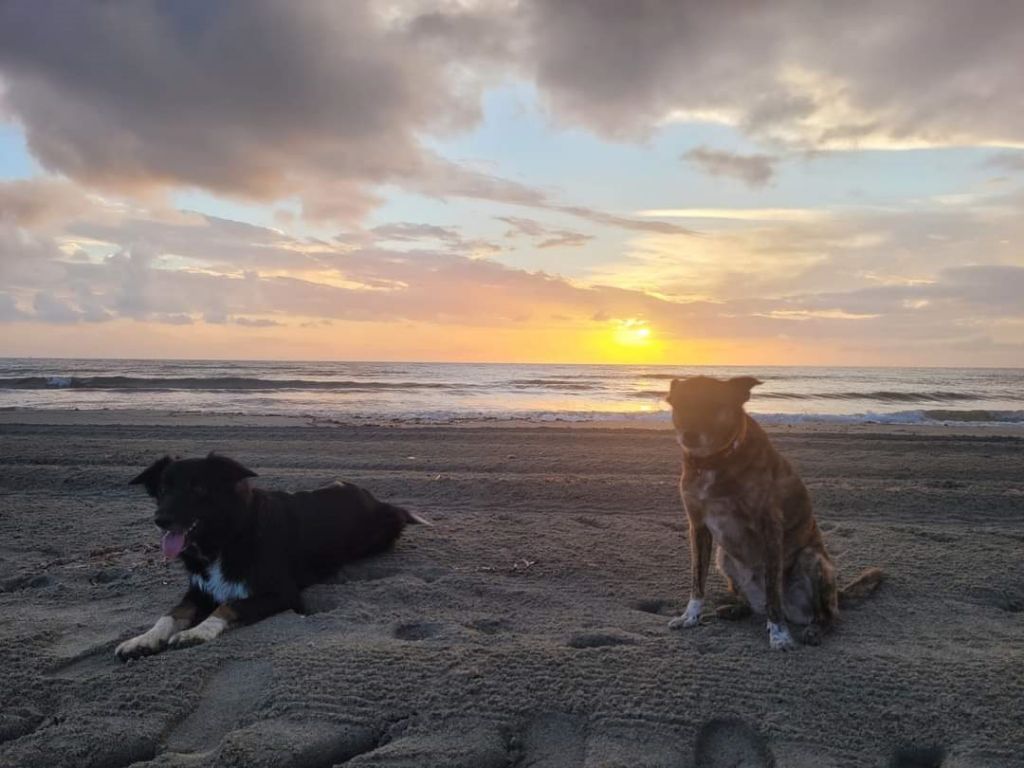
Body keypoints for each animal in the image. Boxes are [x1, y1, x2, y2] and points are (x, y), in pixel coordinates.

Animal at [115, 456, 428, 663]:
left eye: (198, 489)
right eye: (163, 490)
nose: (160, 520)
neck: (228, 536)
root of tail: (375, 499)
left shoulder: (283, 594)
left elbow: (229, 605)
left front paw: (198, 632)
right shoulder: (199, 589)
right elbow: (170, 614)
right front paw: (142, 639)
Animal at [663, 376, 880, 651]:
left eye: (715, 405)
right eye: (680, 404)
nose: (689, 434)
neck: (716, 460)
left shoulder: (770, 529)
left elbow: (773, 591)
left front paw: (779, 635)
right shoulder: (698, 526)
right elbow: (697, 580)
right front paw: (690, 616)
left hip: (812, 559)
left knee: (828, 615)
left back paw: (814, 629)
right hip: (724, 557)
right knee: (754, 604)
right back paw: (736, 609)